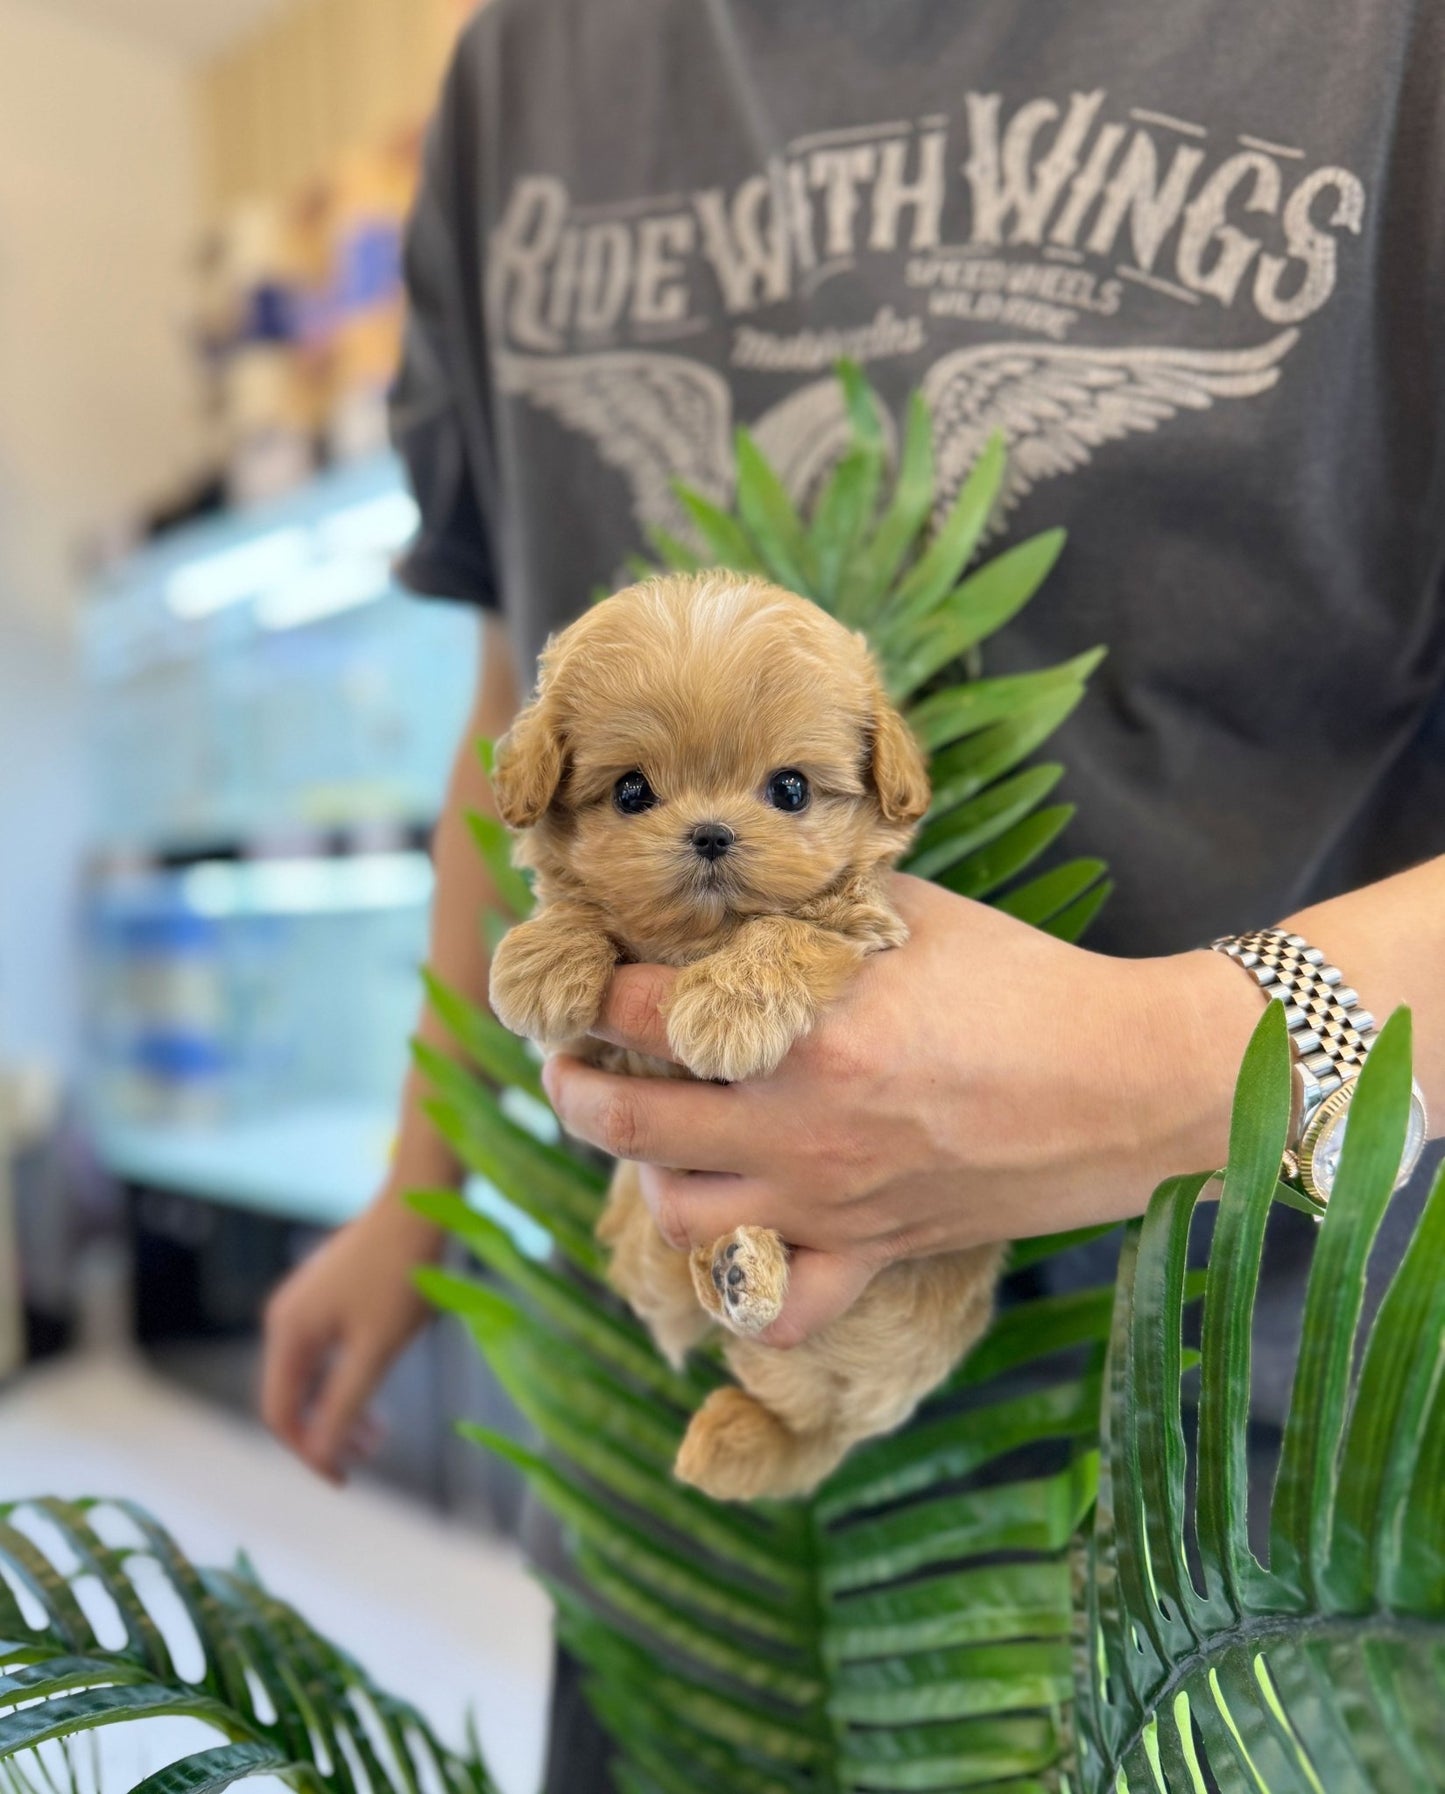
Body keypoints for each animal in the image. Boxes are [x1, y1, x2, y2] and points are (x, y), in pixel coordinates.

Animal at [484, 574, 1005, 1499]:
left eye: (790, 790)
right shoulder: (592, 1051)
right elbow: (585, 915)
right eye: (630, 792)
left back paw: (744, 1281)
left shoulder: (860, 926)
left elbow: (784, 933)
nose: (711, 834)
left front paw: (725, 1009)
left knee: (805, 1412)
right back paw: (727, 1276)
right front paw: (545, 958)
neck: (696, 943)